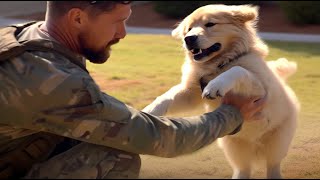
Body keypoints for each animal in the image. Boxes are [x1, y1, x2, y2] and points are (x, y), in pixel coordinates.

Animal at [142, 4, 300, 179]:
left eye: (210, 24)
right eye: (189, 29)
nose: (188, 39)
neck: (219, 64)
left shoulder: (261, 91)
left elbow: (238, 70)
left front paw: (216, 85)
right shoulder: (191, 93)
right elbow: (167, 96)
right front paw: (150, 111)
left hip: (276, 145)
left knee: (273, 166)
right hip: (234, 146)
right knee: (243, 169)